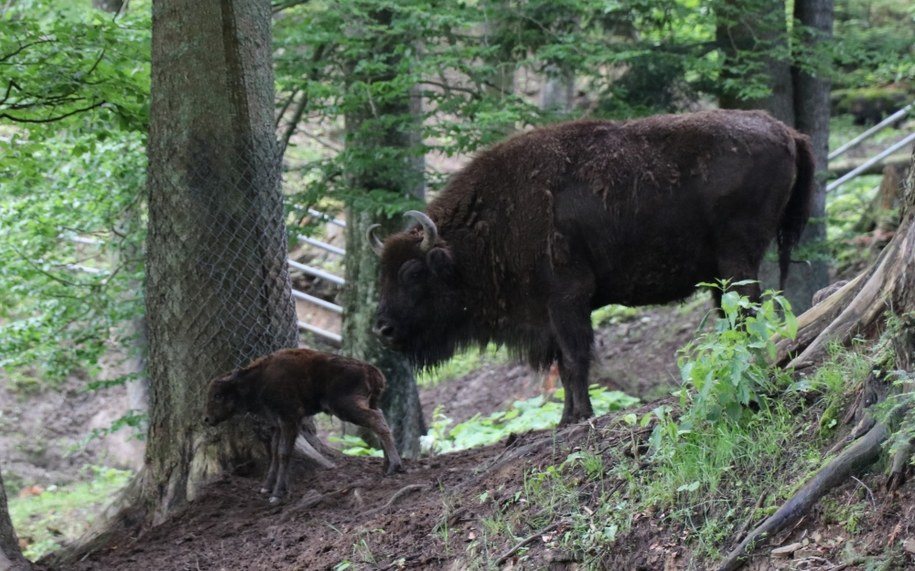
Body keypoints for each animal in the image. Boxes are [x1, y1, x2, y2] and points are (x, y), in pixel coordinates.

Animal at [204, 346, 404, 502]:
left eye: (218, 395)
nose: (206, 419)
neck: (258, 380)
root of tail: (371, 370)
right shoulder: (278, 424)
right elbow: (274, 452)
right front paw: (266, 487)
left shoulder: (290, 420)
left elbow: (283, 453)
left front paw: (277, 494)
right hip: (369, 403)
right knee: (380, 420)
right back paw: (386, 466)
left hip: (346, 407)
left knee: (377, 421)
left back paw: (394, 466)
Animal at [368, 109, 812, 426]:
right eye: (381, 274)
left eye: (413, 273)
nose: (383, 329)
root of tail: (786, 131)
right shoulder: (551, 313)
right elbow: (564, 366)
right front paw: (567, 417)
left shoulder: (567, 299)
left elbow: (575, 359)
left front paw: (578, 416)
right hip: (721, 273)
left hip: (738, 260)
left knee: (749, 312)